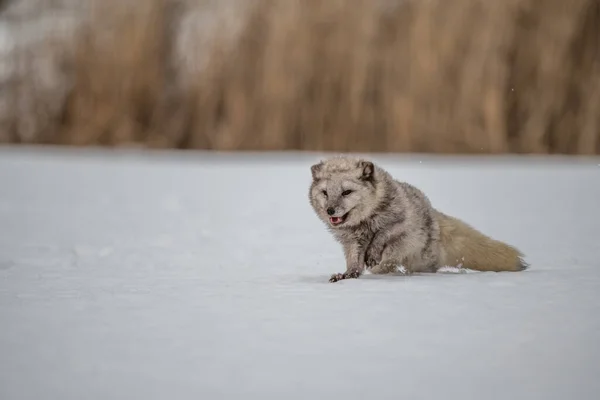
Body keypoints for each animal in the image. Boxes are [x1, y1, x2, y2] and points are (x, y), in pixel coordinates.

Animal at [308, 155, 528, 282]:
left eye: (347, 192)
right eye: (325, 193)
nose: (330, 210)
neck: (365, 223)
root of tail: (433, 213)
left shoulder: (402, 223)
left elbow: (383, 233)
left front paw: (373, 251)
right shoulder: (352, 241)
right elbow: (354, 261)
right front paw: (348, 275)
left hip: (419, 258)